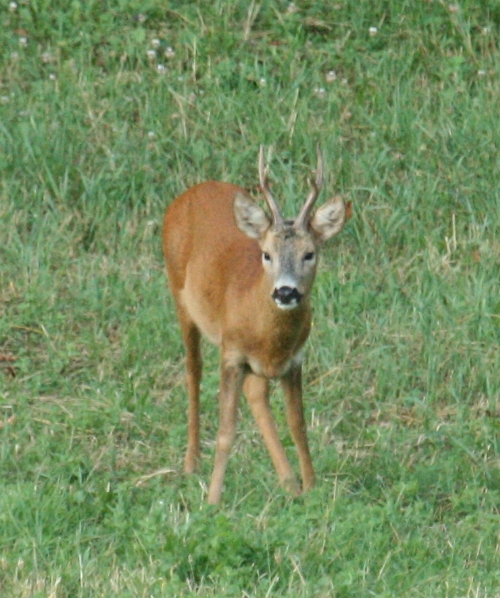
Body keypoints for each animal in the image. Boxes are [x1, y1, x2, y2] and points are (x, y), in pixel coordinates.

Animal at [162, 146, 346, 506]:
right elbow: (225, 431)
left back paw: (289, 482)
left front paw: (310, 487)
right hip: (179, 294)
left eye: (309, 254)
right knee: (193, 369)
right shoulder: (232, 353)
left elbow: (297, 424)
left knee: (256, 393)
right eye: (266, 254)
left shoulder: (295, 359)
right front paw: (213, 501)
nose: (286, 291)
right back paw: (191, 464)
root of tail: (191, 191)